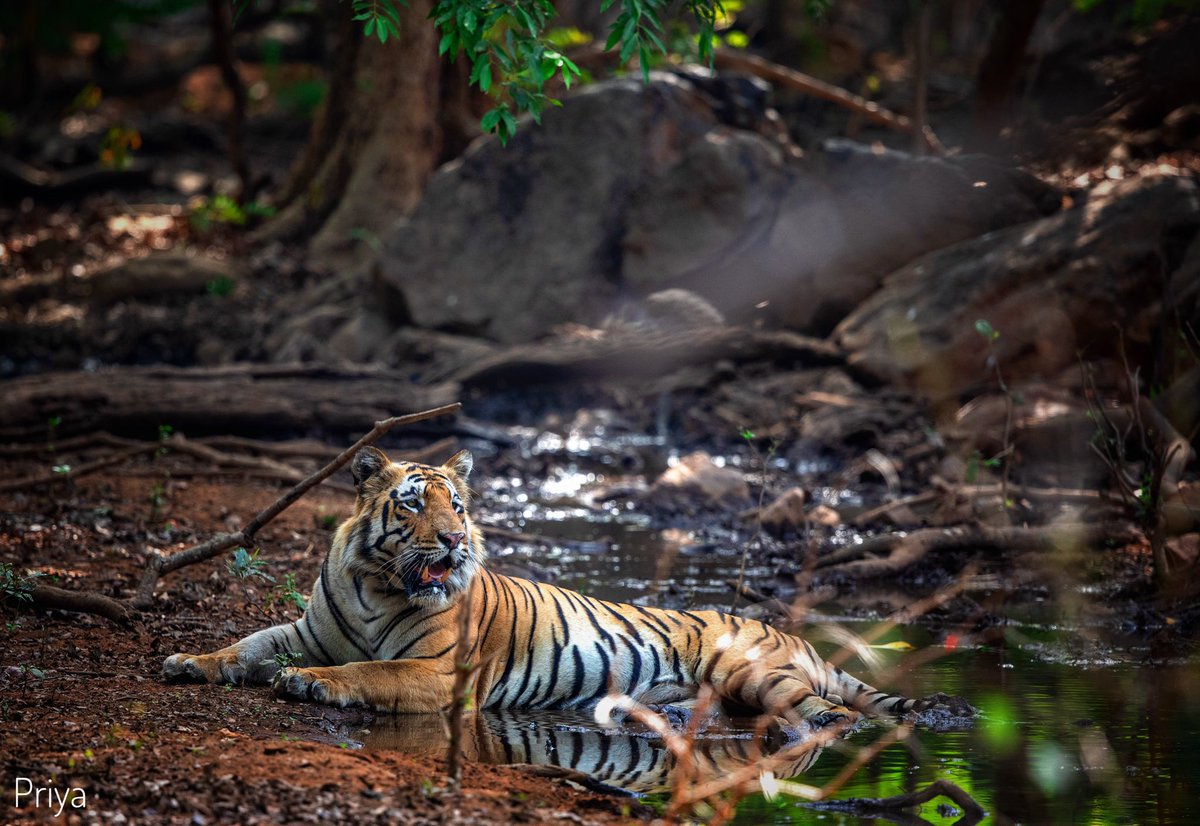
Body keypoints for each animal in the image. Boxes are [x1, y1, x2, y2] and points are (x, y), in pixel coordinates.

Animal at [163, 447, 969, 725]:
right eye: (413, 503)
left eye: (458, 506)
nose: (454, 541)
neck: (374, 582)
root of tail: (787, 630)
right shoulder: (307, 629)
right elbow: (246, 643)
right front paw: (190, 661)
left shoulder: (437, 672)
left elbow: (370, 671)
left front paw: (312, 684)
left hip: (756, 674)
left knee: (834, 715)